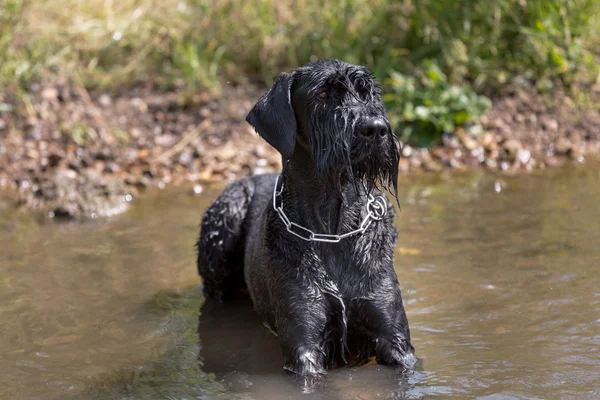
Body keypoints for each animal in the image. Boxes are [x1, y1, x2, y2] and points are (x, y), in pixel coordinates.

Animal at [196, 58, 412, 382]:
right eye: (322, 94)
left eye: (368, 93)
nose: (375, 129)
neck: (332, 230)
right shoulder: (305, 343)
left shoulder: (394, 338)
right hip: (224, 222)